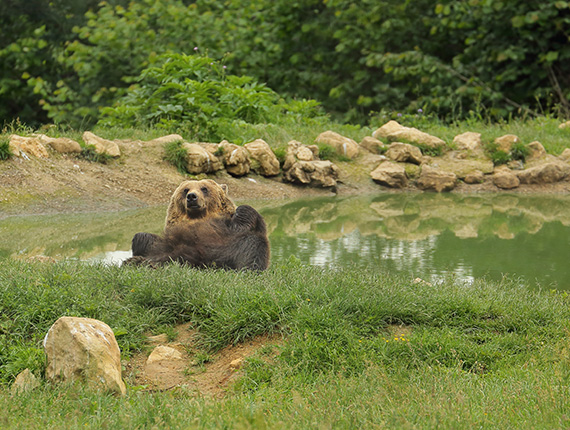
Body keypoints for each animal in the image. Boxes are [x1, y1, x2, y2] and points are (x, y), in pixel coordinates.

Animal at [123, 180, 268, 270]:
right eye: (185, 189)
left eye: (204, 188)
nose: (192, 196)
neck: (198, 217)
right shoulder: (171, 239)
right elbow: (145, 239)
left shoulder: (226, 232)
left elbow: (244, 220)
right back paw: (137, 262)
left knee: (252, 244)